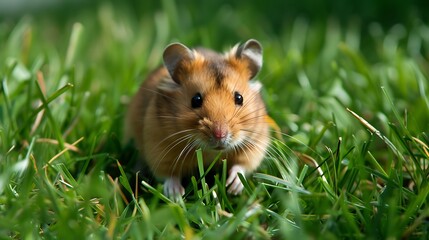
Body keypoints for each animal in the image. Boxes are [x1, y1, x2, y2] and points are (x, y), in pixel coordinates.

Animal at [123, 39, 270, 197]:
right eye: (196, 99)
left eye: (239, 98)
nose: (220, 135)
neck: (210, 151)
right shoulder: (159, 148)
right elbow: (168, 175)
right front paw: (176, 195)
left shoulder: (256, 142)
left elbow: (242, 165)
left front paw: (232, 188)